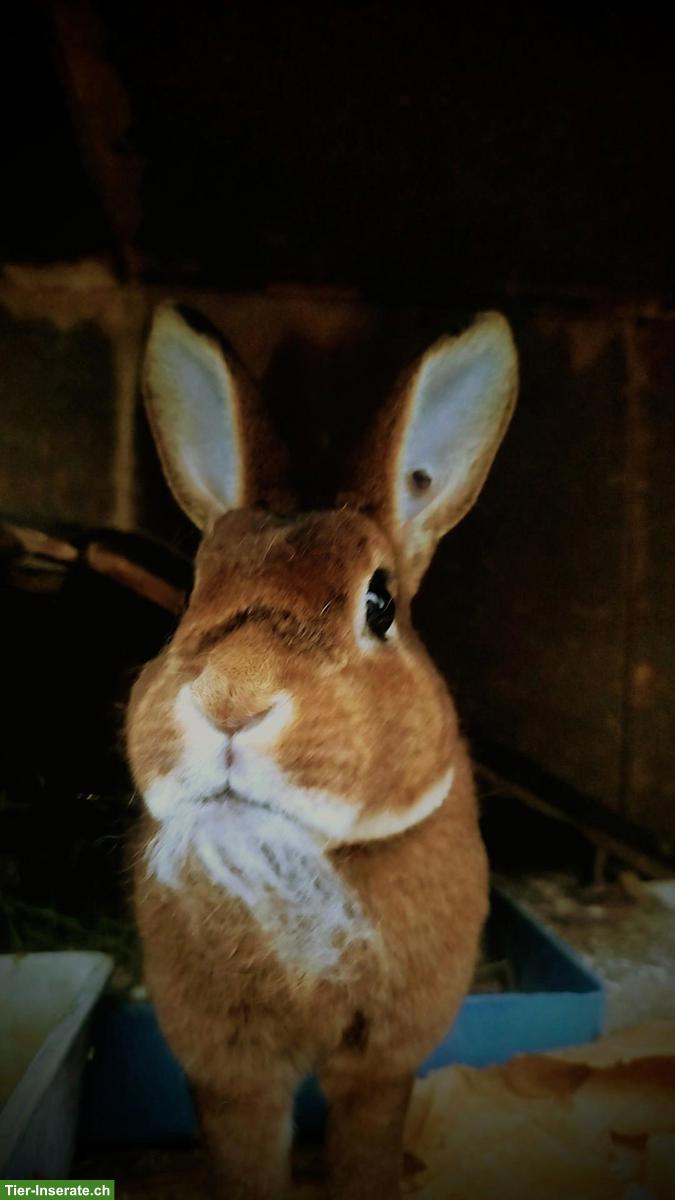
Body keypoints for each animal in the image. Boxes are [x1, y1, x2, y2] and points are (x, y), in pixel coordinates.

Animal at [127, 301, 518, 1200]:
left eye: (380, 603)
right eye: (191, 593)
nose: (230, 698)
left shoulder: (382, 1059)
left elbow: (364, 1143)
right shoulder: (227, 1065)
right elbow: (246, 1156)